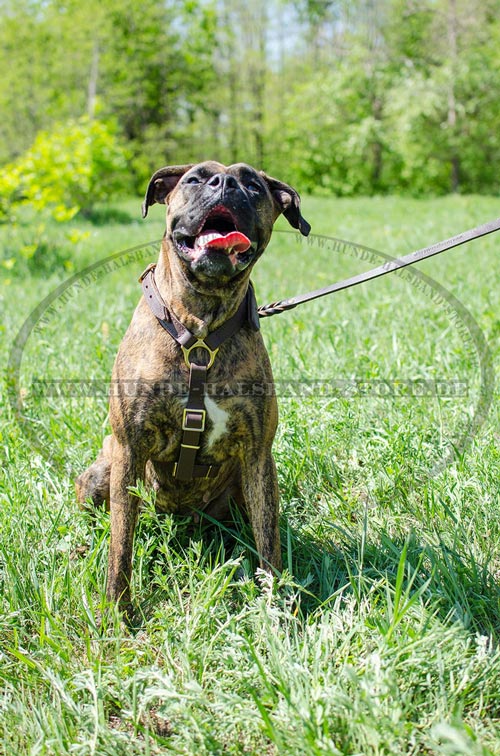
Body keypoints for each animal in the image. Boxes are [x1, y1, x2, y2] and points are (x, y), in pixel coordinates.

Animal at [74, 161, 310, 616]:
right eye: (195, 178)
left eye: (253, 184)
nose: (225, 183)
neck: (200, 327)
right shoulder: (129, 448)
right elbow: (121, 543)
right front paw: (118, 614)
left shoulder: (258, 455)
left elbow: (269, 542)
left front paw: (276, 609)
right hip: (101, 472)